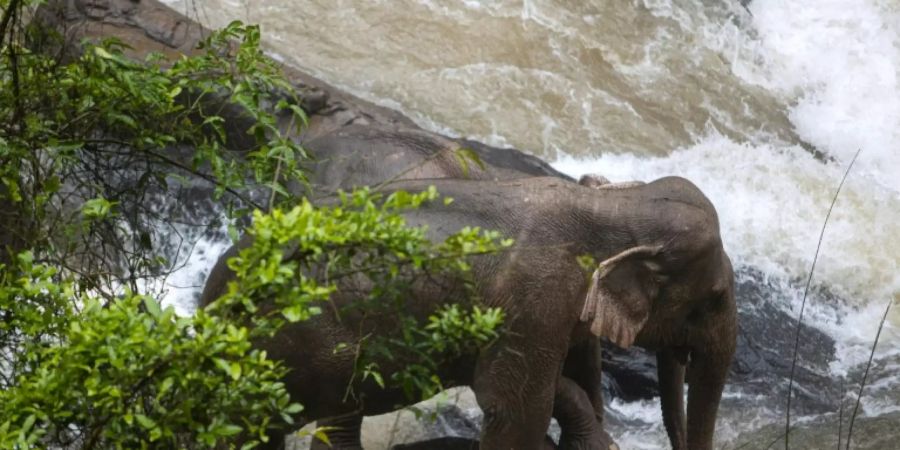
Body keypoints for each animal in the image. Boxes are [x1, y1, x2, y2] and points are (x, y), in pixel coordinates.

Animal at [200, 174, 736, 448]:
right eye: (712, 298)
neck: (614, 202)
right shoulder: (534, 298)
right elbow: (515, 409)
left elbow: (579, 380)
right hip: (305, 343)